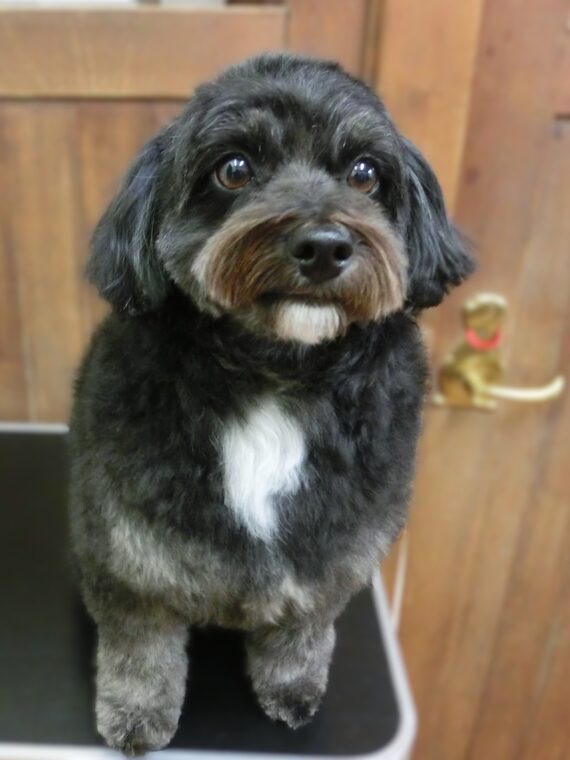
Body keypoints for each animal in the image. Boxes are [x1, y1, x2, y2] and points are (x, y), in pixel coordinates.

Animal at [69, 54, 473, 755]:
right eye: (234, 169)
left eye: (364, 173)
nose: (325, 245)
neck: (276, 376)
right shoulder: (127, 551)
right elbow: (141, 645)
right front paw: (137, 715)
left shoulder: (337, 548)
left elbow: (303, 628)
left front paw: (291, 688)